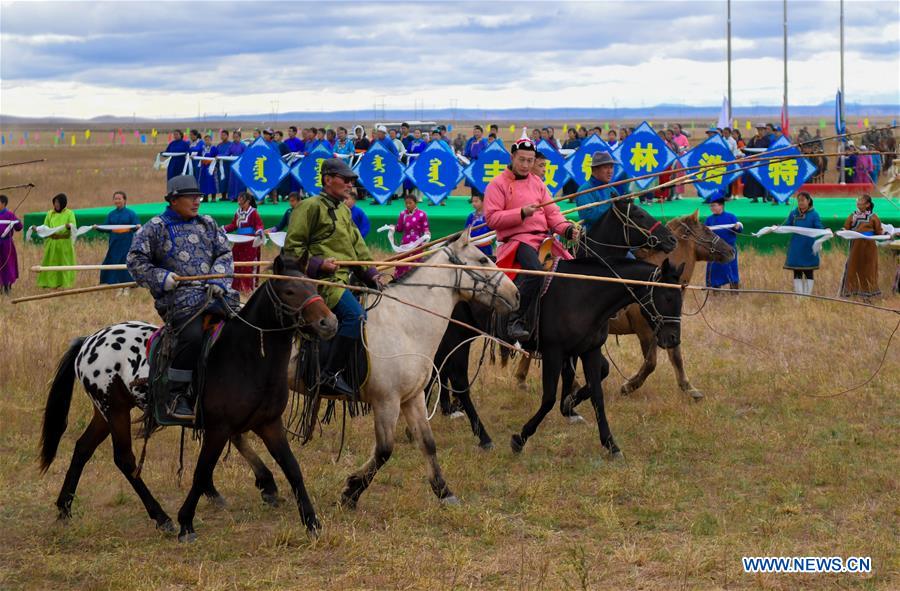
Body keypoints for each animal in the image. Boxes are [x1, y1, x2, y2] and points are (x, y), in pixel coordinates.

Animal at [40, 254, 340, 540]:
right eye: (289, 290)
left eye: (314, 287)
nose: (329, 323)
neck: (247, 357)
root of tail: (88, 341)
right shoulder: (219, 428)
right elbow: (202, 471)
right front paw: (186, 522)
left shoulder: (269, 424)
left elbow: (292, 468)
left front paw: (312, 522)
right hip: (114, 410)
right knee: (125, 460)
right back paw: (162, 518)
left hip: (105, 412)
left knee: (82, 448)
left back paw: (64, 508)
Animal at [294, 231, 520, 508]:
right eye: (482, 259)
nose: (516, 294)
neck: (405, 321)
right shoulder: (386, 401)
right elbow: (383, 451)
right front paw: (351, 492)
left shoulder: (412, 397)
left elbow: (428, 443)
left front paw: (444, 491)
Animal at [510, 258, 684, 458]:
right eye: (668, 297)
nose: (674, 339)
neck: (583, 295)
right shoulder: (553, 352)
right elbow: (548, 398)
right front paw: (521, 437)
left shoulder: (589, 351)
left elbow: (597, 396)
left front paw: (611, 444)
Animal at [608, 210, 736, 400]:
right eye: (706, 230)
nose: (731, 251)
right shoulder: (646, 332)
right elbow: (651, 363)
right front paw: (629, 385)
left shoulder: (669, 328)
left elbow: (676, 356)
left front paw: (689, 388)